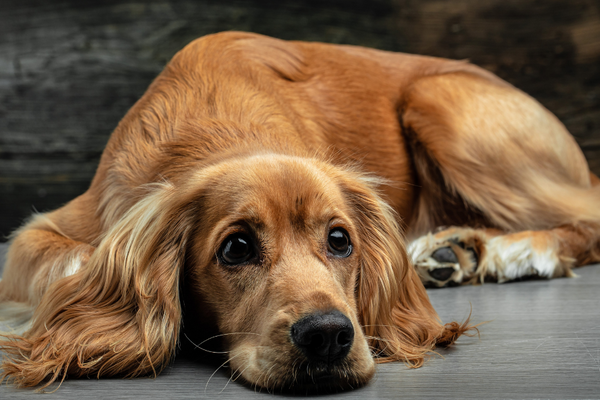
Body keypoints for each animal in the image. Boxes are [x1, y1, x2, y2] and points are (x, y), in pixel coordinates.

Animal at [1, 30, 600, 390]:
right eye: (236, 248)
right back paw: (452, 251)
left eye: (340, 240)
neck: (214, 122)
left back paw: (515, 250)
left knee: (587, 216)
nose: (328, 336)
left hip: (441, 104)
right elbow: (72, 262)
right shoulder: (42, 232)